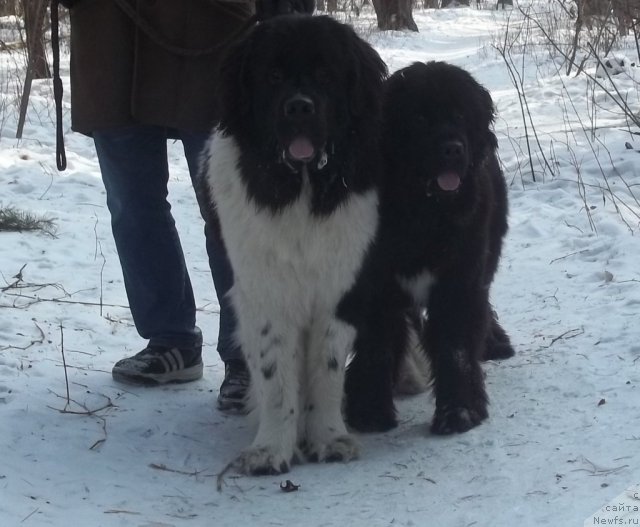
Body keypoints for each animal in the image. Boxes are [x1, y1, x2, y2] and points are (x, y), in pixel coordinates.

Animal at [202, 16, 388, 476]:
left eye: (325, 74)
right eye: (272, 76)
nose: (299, 107)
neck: (302, 186)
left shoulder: (339, 290)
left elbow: (327, 371)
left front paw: (329, 438)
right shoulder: (266, 293)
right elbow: (276, 377)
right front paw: (271, 449)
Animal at [340, 59, 516, 436]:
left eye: (461, 114)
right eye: (419, 118)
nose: (452, 148)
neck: (425, 211)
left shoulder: (458, 280)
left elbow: (455, 346)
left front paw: (459, 411)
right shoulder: (378, 284)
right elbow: (377, 345)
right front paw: (369, 411)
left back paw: (495, 343)